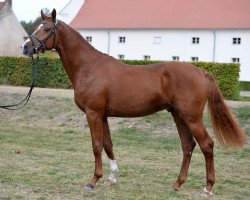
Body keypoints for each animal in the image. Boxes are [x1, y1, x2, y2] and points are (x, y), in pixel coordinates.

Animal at [22, 9, 246, 195]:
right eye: (38, 27)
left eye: (47, 29)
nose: (25, 47)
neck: (89, 66)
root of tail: (201, 71)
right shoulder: (103, 115)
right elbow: (108, 144)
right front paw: (111, 178)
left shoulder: (93, 113)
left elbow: (96, 145)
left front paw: (93, 181)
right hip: (178, 115)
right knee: (188, 146)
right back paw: (176, 185)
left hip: (191, 117)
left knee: (207, 145)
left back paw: (208, 188)